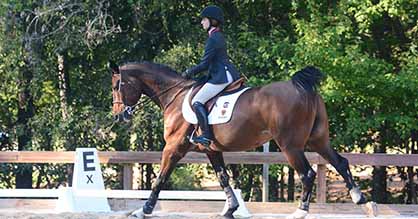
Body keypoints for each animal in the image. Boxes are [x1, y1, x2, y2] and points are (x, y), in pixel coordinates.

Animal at [110, 60, 366, 218]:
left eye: (116, 86)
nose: (119, 115)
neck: (175, 95)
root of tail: (303, 88)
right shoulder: (212, 150)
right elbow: (223, 178)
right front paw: (230, 209)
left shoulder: (173, 148)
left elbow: (160, 179)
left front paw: (144, 210)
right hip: (317, 140)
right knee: (340, 162)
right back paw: (358, 197)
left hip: (290, 145)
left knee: (308, 174)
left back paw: (300, 211)